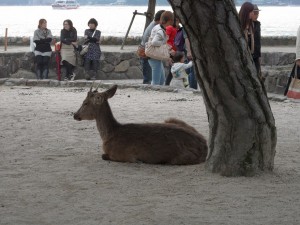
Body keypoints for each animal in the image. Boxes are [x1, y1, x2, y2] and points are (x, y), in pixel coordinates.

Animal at [74, 84, 207, 165]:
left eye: (85, 103)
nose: (75, 115)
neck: (109, 135)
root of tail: (205, 146)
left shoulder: (123, 155)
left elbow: (103, 156)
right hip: (172, 119)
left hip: (180, 158)